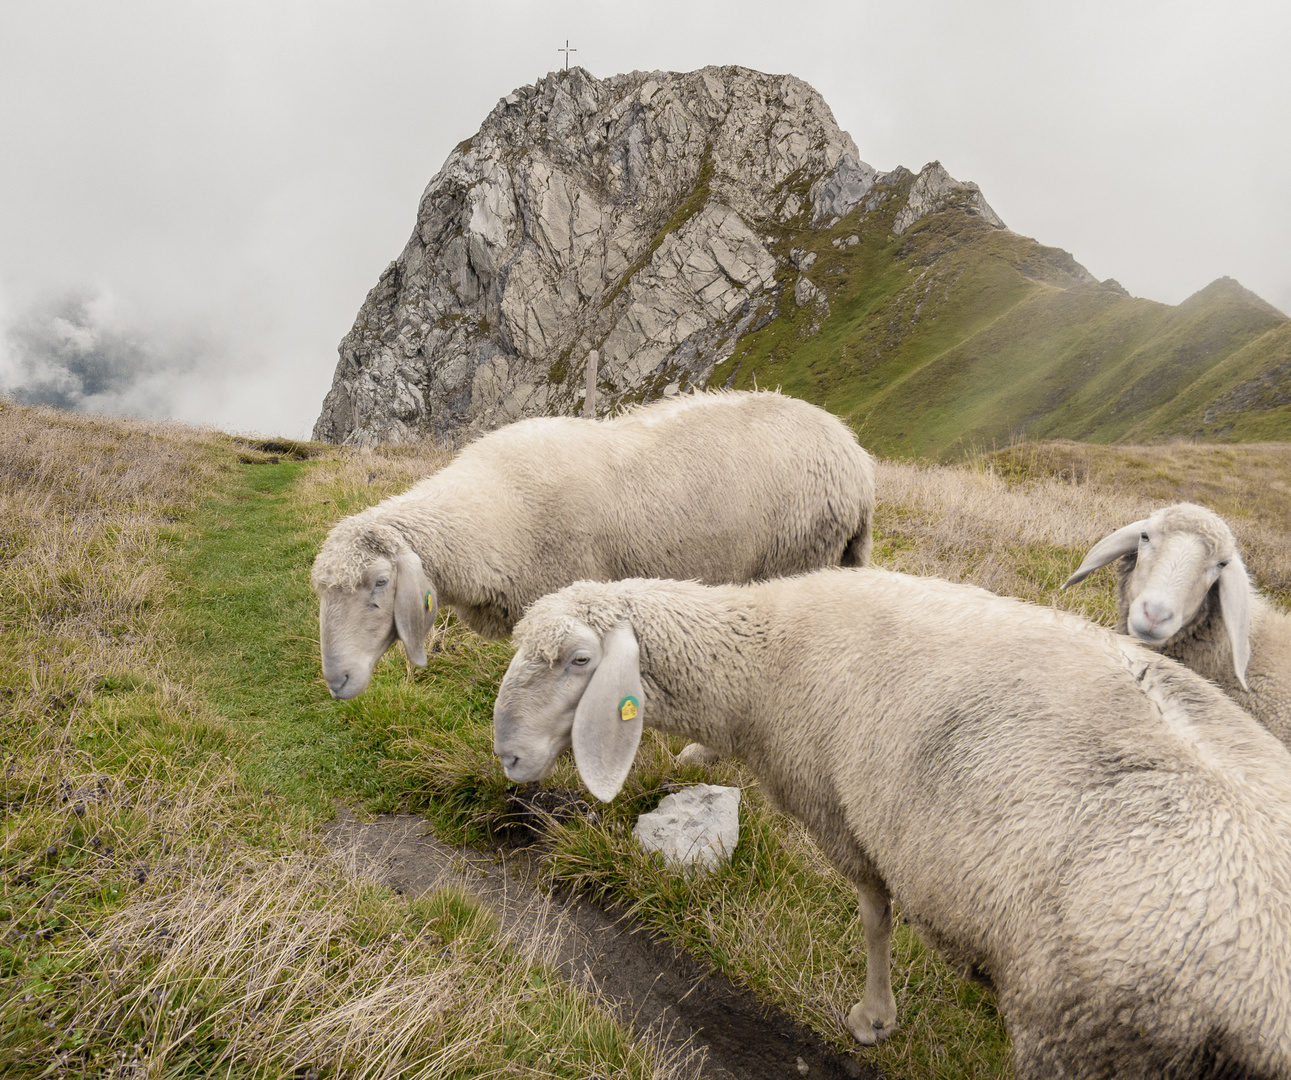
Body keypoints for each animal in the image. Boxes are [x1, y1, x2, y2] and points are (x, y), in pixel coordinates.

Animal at [487, 567, 1291, 1073]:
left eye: (579, 660)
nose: (509, 757)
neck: (766, 657)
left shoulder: (841, 814)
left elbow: (875, 915)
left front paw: (874, 1017)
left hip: (1087, 1033)